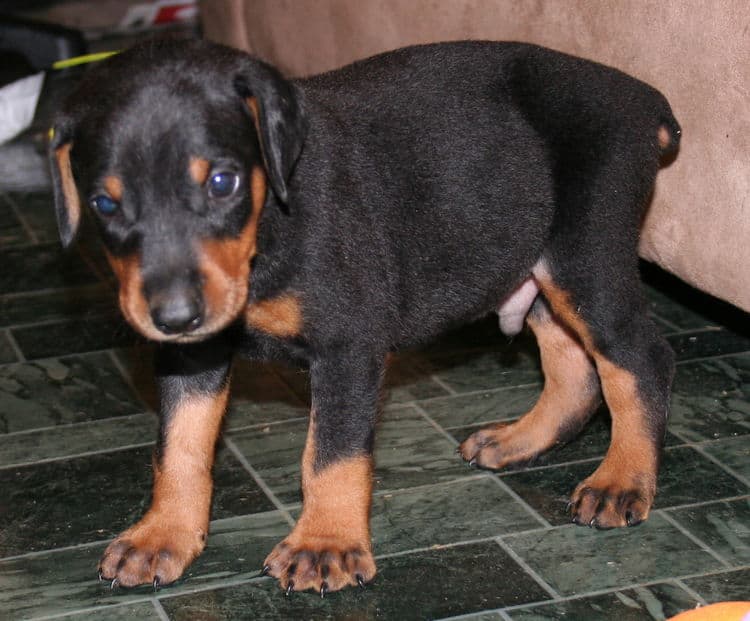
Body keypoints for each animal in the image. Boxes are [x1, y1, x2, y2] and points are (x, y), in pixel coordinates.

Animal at [47, 36, 680, 592]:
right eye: (104, 203)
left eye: (223, 182)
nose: (173, 317)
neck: (269, 224)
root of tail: (644, 96)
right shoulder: (193, 355)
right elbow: (178, 444)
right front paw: (162, 536)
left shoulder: (347, 344)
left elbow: (332, 452)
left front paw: (323, 545)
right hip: (533, 263)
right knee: (574, 367)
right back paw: (520, 440)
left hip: (585, 255)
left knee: (640, 361)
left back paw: (621, 480)